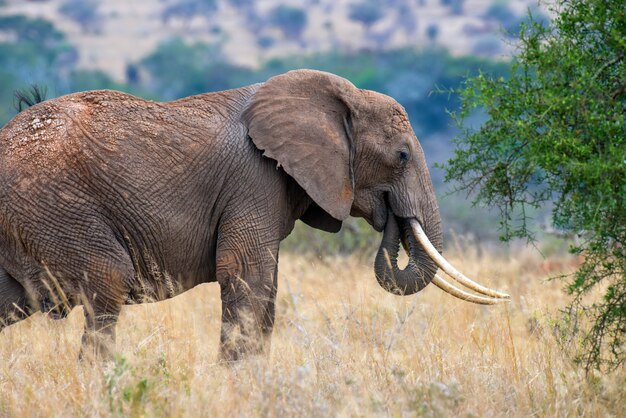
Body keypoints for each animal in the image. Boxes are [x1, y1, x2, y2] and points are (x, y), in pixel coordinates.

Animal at [0, 70, 508, 360]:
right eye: (401, 156)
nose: (390, 218)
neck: (342, 97)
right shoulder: (254, 179)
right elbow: (248, 274)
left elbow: (266, 287)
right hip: (54, 207)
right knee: (108, 282)